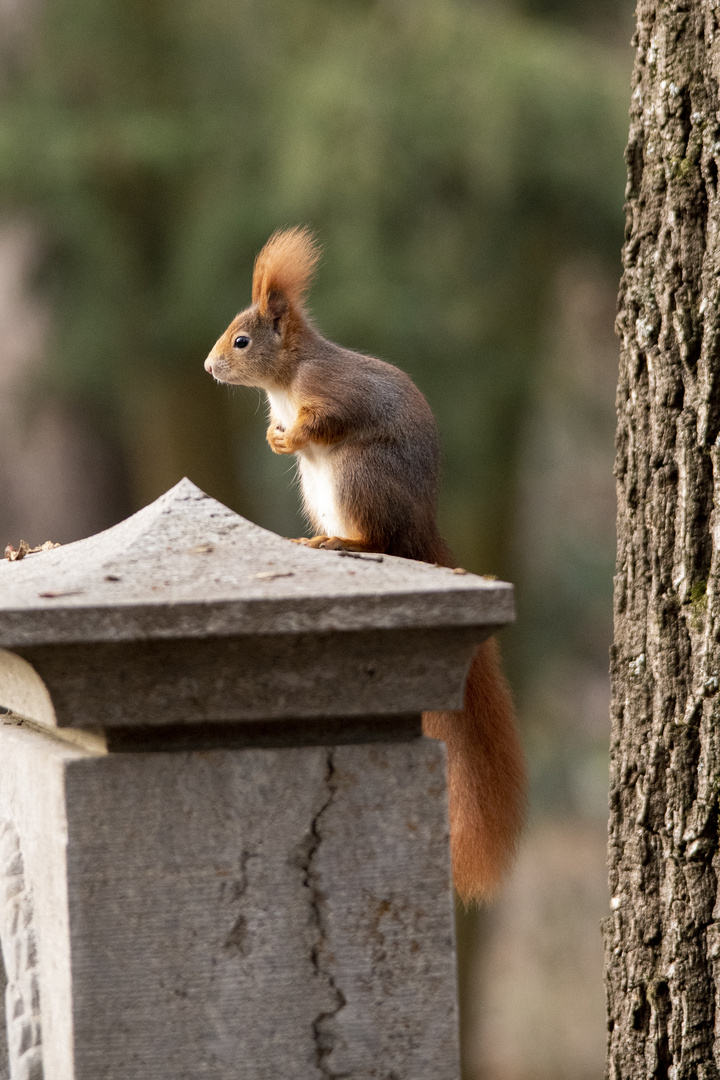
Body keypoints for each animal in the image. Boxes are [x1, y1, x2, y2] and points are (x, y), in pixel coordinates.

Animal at [205, 227, 526, 902]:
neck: (287, 379)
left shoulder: (334, 394)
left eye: (242, 341)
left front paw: (290, 434)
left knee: (375, 536)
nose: (209, 367)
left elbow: (326, 420)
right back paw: (314, 539)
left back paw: (340, 544)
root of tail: (422, 529)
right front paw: (275, 434)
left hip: (358, 477)